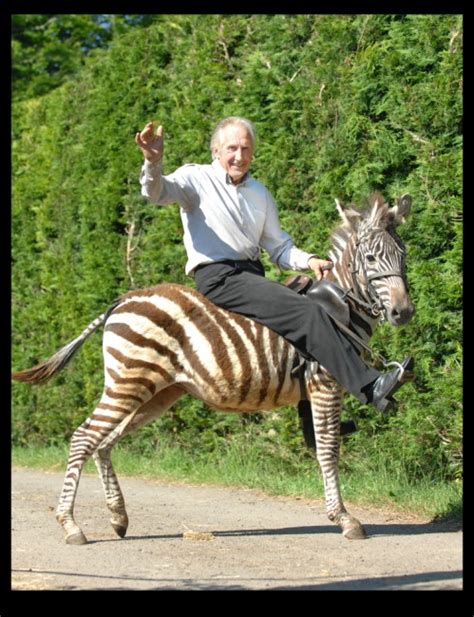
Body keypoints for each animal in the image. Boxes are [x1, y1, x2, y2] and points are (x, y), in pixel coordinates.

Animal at [12, 191, 414, 544]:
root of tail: (120, 302)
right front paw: (345, 519)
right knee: (84, 437)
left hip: (155, 393)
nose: (403, 312)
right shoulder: (325, 383)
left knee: (104, 442)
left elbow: (321, 447)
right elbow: (329, 449)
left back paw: (118, 518)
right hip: (129, 383)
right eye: (370, 258)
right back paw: (71, 526)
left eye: (403, 256)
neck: (338, 309)